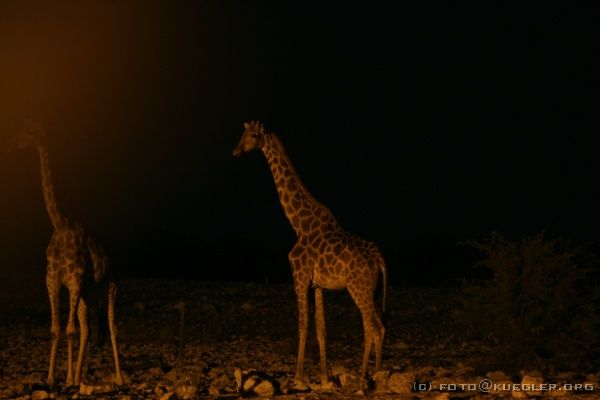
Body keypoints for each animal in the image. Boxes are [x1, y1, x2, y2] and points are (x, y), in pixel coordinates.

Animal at [16, 119, 122, 388]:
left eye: (29, 130)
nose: (13, 140)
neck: (60, 224)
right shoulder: (53, 280)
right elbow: (57, 329)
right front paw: (54, 377)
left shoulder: (74, 281)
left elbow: (69, 329)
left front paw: (66, 379)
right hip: (87, 290)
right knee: (87, 326)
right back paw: (76, 376)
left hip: (112, 283)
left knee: (111, 325)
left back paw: (118, 378)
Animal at [232, 120, 386, 386]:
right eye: (243, 133)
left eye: (252, 135)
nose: (236, 151)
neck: (298, 224)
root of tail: (379, 259)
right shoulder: (318, 285)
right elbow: (321, 329)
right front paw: (324, 378)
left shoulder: (299, 276)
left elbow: (302, 325)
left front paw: (298, 376)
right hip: (372, 291)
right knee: (379, 326)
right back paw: (375, 373)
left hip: (359, 288)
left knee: (372, 326)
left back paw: (363, 377)